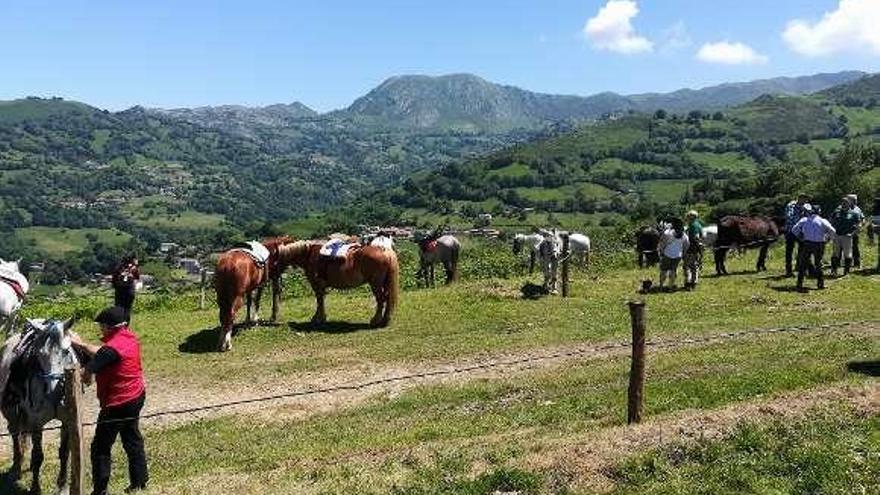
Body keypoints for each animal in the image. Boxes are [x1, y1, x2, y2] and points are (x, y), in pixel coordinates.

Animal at [0, 318, 79, 495]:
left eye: (66, 352)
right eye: (39, 355)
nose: (54, 391)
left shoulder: (67, 421)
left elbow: (64, 452)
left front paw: (62, 486)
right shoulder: (37, 423)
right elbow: (38, 456)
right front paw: (35, 488)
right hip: (11, 413)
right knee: (14, 434)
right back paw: (16, 467)